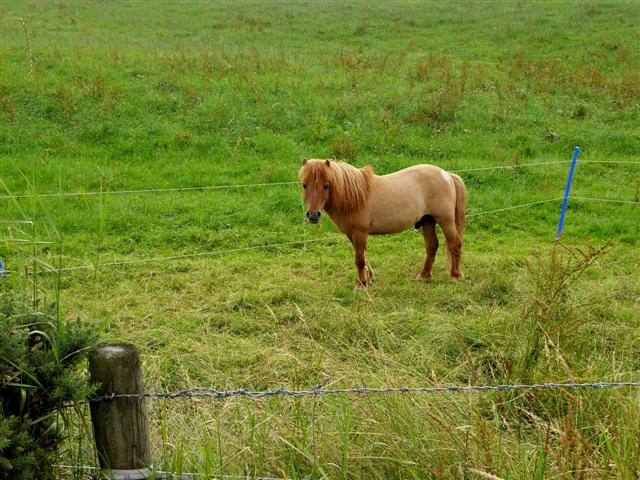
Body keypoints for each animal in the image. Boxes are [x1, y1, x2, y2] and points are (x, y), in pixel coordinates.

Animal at [299, 159, 466, 290]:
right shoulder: (352, 234)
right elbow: (364, 257)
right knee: (432, 246)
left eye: (326, 185)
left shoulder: (359, 233)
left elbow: (359, 259)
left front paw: (361, 284)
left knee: (454, 244)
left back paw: (455, 276)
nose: (313, 215)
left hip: (445, 220)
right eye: (304, 185)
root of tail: (447, 175)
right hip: (427, 221)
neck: (355, 197)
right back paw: (424, 276)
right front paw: (368, 278)